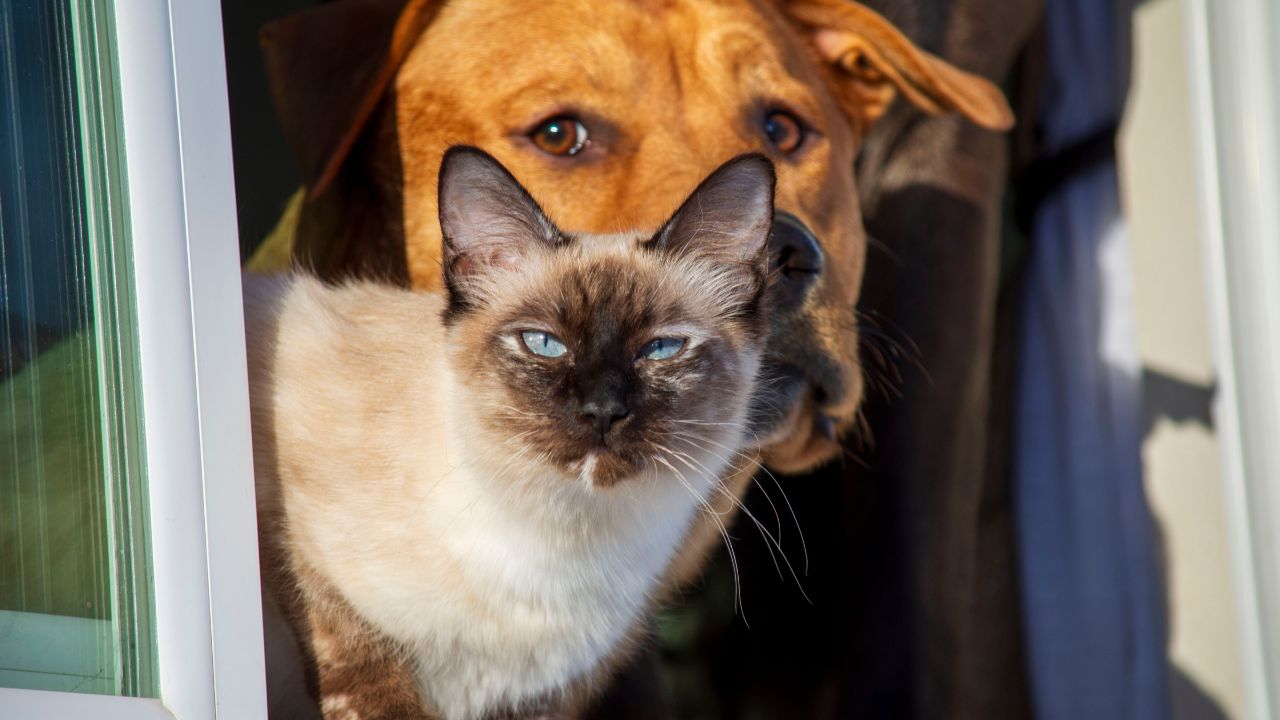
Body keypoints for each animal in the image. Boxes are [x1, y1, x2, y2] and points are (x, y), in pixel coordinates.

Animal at [244, 147, 773, 717]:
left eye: (660, 349)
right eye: (544, 344)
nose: (602, 410)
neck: (563, 544)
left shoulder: (540, 695)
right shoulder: (300, 550)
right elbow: (366, 680)